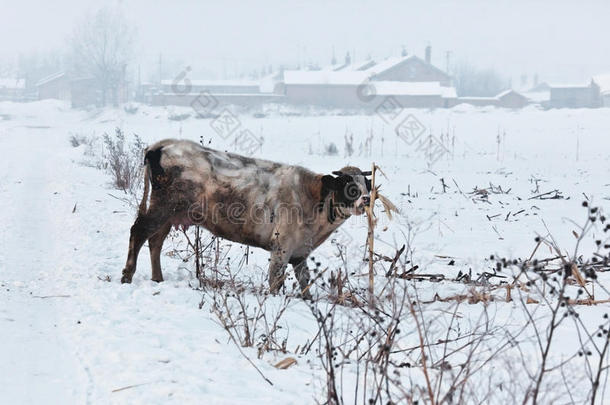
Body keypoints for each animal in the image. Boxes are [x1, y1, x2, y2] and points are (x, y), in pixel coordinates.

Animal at [120, 139, 370, 296]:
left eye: (366, 185)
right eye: (348, 187)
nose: (366, 200)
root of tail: (161, 145)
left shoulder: (300, 252)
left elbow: (304, 282)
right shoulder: (281, 247)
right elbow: (276, 281)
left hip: (169, 214)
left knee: (155, 241)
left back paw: (157, 278)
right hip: (162, 207)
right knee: (139, 232)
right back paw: (127, 276)